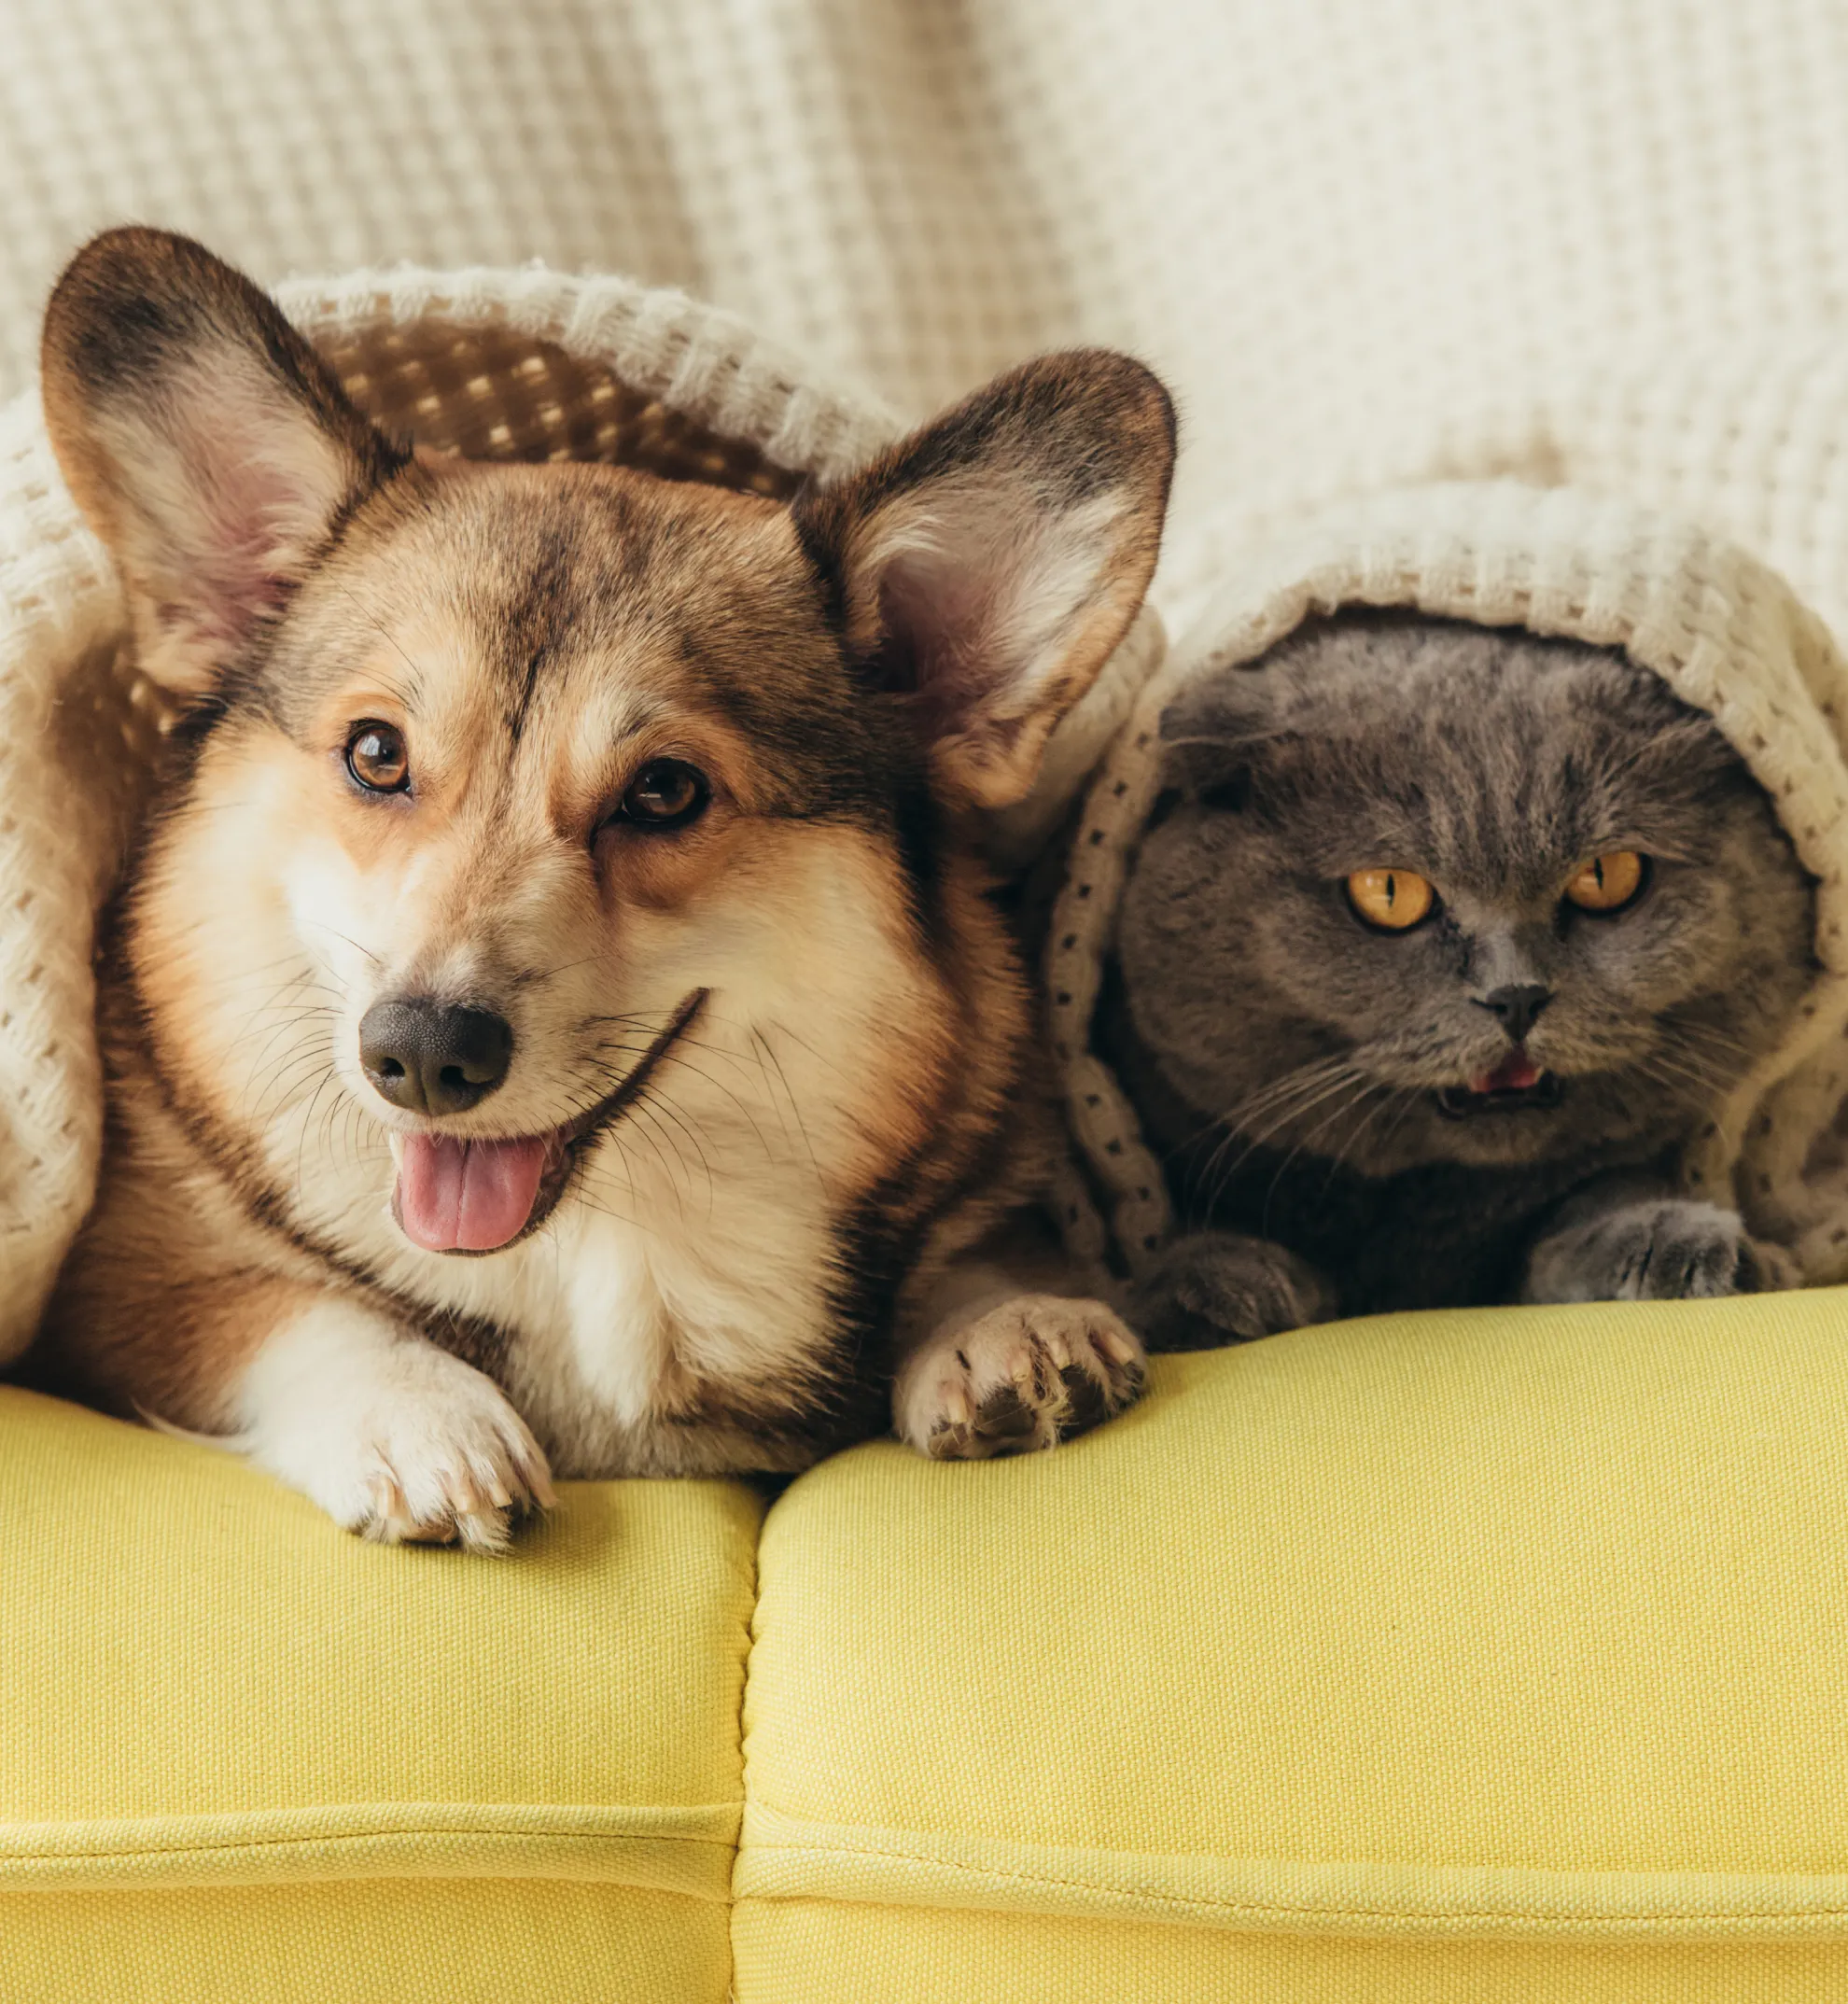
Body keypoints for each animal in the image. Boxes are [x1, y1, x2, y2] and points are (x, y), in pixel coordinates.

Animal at [35, 234, 1170, 1547]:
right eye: (376, 753)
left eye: (665, 790)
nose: (421, 1053)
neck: (608, 1252)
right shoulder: (119, 1282)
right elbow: (278, 1304)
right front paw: (419, 1413)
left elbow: (988, 1247)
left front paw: (1008, 1318)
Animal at [1098, 612, 1812, 1346]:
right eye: (1387, 891)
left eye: (1607, 876)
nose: (1516, 996)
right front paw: (1208, 1288)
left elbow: (1599, 1191)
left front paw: (1676, 1241)